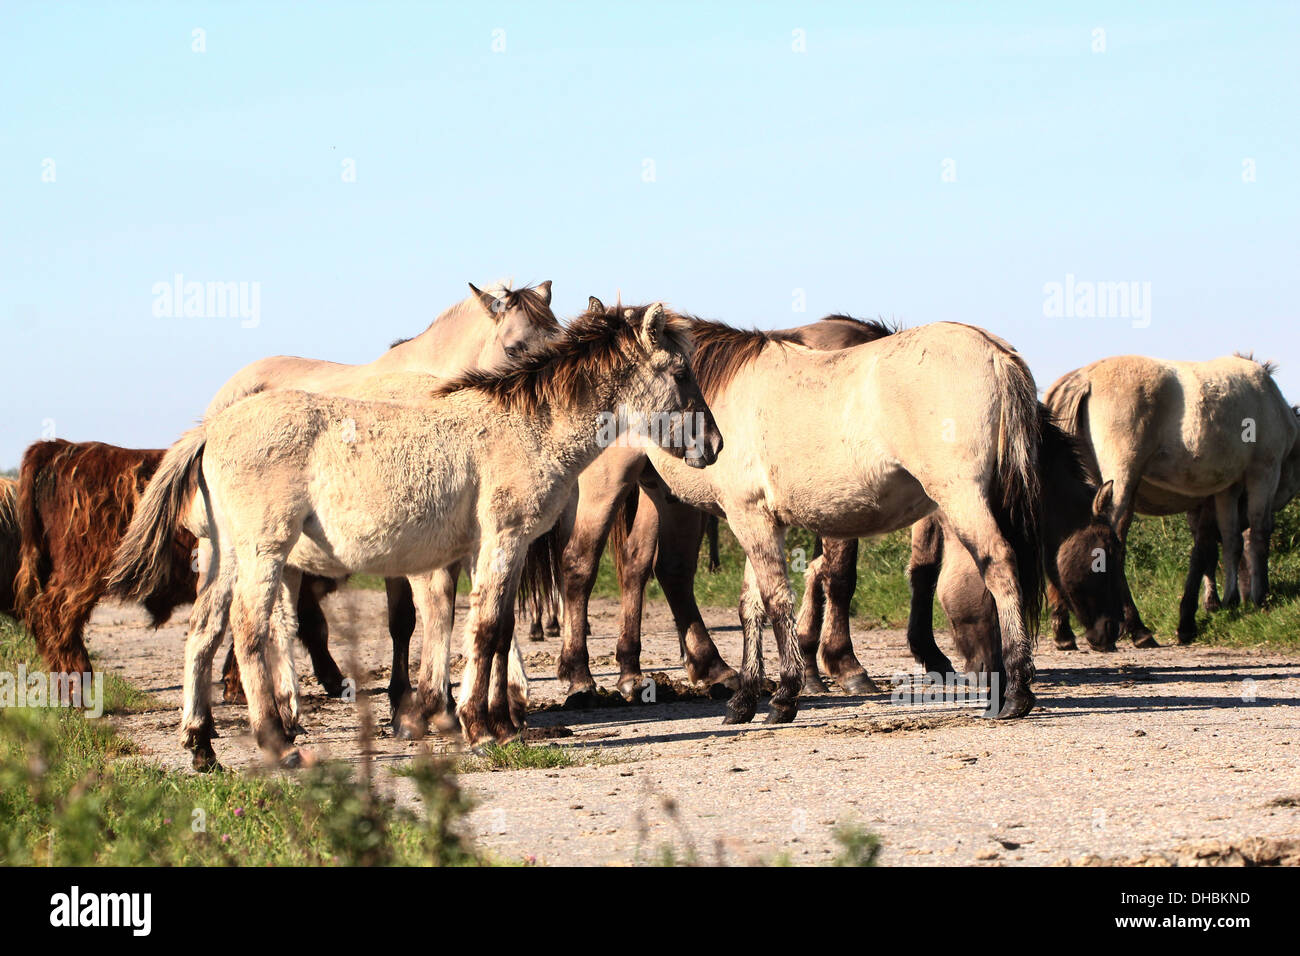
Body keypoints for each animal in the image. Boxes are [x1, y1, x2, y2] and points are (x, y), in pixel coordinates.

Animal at [10, 440, 344, 691]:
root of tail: (64, 448)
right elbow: (314, 628)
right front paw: (337, 681)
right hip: (81, 573)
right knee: (54, 614)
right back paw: (78, 681)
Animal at [107, 304, 722, 767]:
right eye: (679, 372)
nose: (714, 446)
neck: (525, 426)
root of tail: (212, 428)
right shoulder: (503, 539)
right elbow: (485, 630)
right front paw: (479, 727)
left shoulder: (487, 550)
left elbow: (494, 632)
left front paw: (498, 723)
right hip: (264, 552)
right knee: (250, 631)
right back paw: (279, 744)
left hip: (227, 555)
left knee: (203, 633)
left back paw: (201, 746)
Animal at [1045, 355, 1300, 645]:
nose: (1247, 597)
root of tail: (1083, 378)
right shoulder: (1264, 471)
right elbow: (1254, 537)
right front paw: (1255, 600)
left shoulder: (1226, 490)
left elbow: (1230, 542)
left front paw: (1226, 601)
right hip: (1121, 481)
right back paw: (1137, 628)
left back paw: (1065, 631)